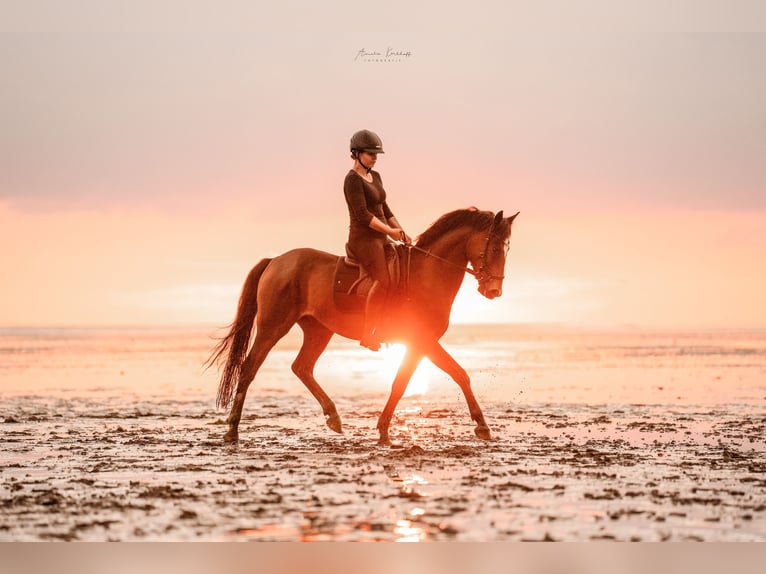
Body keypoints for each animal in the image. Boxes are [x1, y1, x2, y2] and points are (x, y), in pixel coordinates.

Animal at [208, 207, 520, 445]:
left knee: (302, 367)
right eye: (493, 246)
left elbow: (410, 381)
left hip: (319, 330)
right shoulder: (424, 341)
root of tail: (275, 261)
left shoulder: (420, 344)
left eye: (507, 248)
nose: (494, 291)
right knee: (249, 368)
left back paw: (333, 417)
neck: (426, 276)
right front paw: (482, 426)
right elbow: (451, 375)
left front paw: (383, 429)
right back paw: (232, 430)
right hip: (273, 326)